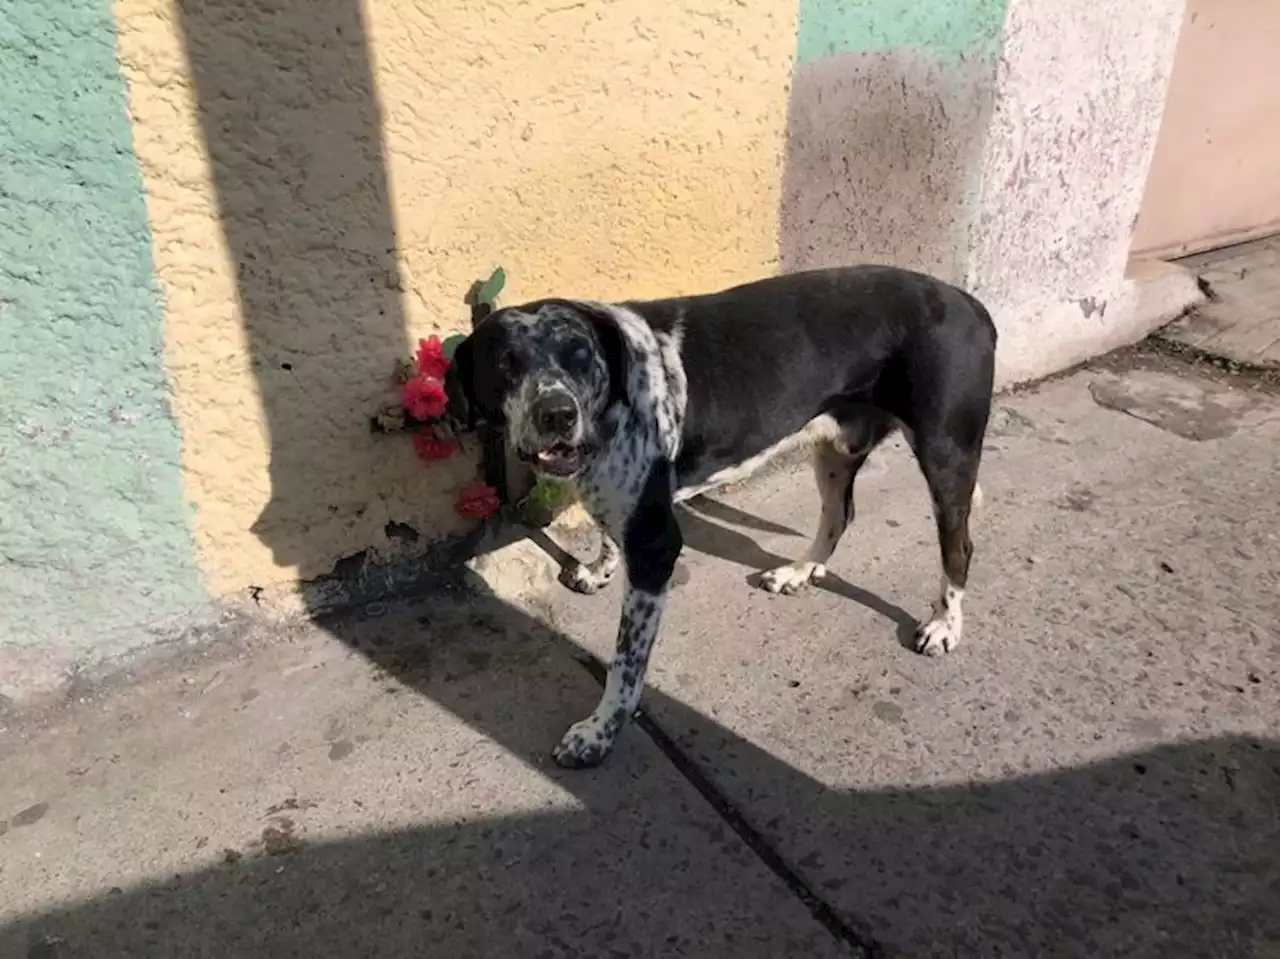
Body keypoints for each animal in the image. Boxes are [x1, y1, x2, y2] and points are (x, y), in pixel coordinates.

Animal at [450, 265, 998, 768]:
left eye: (580, 355)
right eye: (505, 364)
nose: (558, 414)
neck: (616, 403)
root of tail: (969, 303)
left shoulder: (655, 545)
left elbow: (625, 663)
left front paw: (600, 732)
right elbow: (606, 531)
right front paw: (598, 568)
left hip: (946, 454)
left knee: (959, 546)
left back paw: (945, 624)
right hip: (836, 449)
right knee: (839, 515)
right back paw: (800, 571)